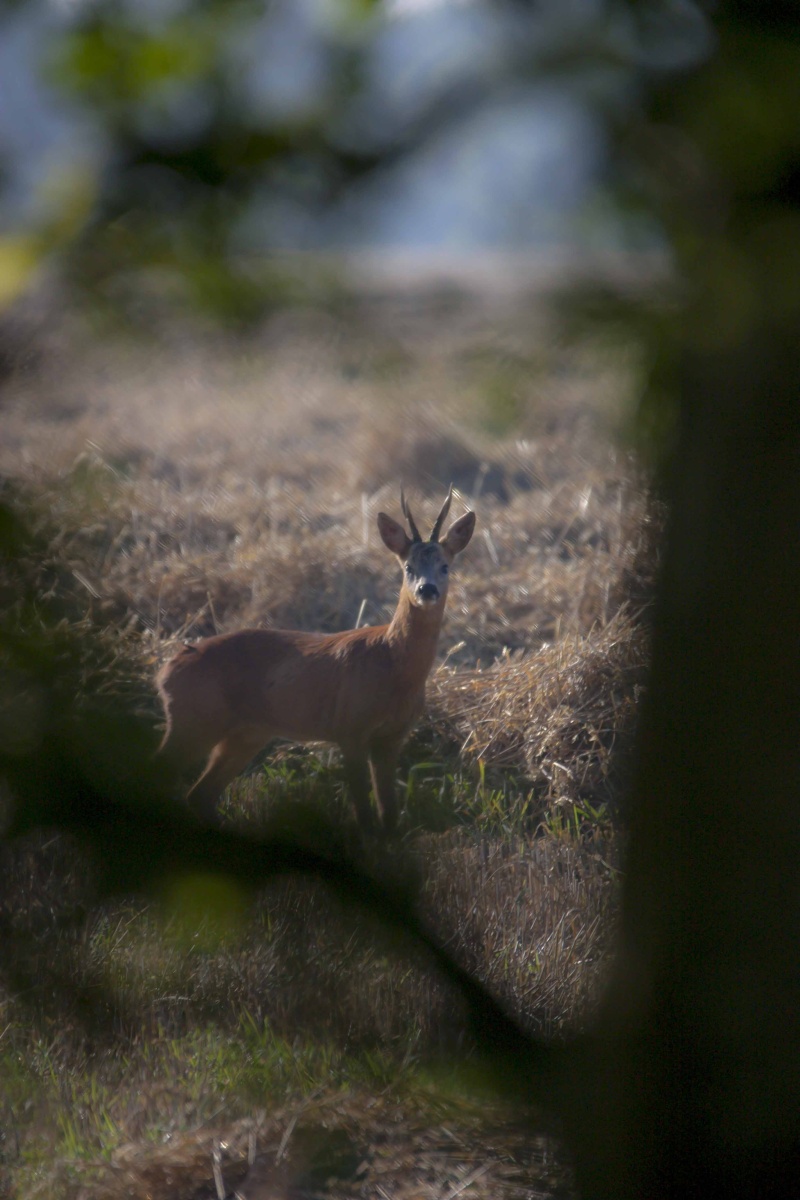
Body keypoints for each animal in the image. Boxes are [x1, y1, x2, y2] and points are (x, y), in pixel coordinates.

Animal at [155, 487, 474, 835]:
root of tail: (165, 672)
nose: (426, 590)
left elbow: (388, 813)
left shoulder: (392, 737)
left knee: (200, 794)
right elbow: (364, 813)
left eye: (445, 566)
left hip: (245, 733)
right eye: (408, 567)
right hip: (195, 719)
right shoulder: (350, 728)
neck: (393, 666)